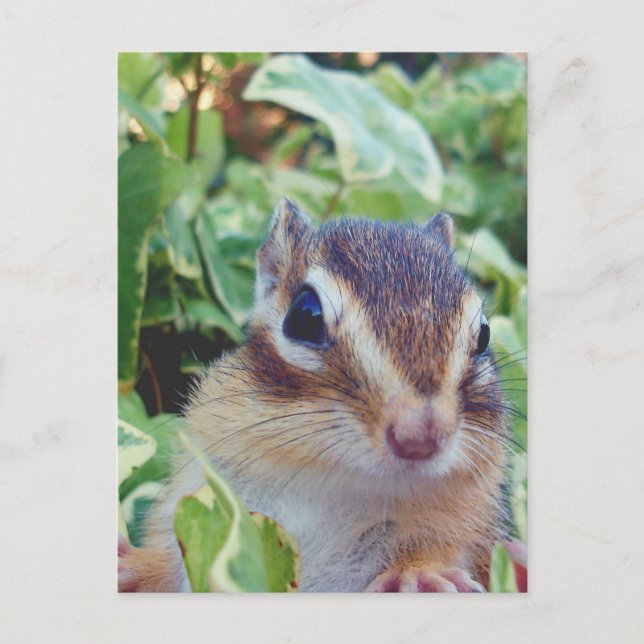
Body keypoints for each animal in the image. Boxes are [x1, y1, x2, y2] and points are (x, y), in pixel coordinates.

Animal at [118, 198, 509, 593]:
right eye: (305, 316)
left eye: (485, 334)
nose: (419, 438)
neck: (329, 485)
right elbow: (162, 565)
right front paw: (130, 563)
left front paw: (421, 572)